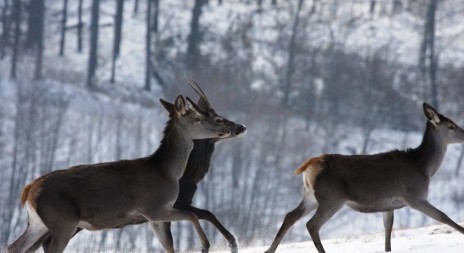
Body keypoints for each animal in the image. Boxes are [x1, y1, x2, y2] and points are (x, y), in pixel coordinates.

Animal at [5, 93, 241, 253]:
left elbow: (170, 245)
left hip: (38, 222)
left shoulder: (154, 217)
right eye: (199, 118)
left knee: (14, 247)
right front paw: (205, 245)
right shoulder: (155, 208)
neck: (168, 173)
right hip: (63, 219)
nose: (227, 129)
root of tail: (28, 190)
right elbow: (192, 215)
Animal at [264, 103, 464, 253]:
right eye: (451, 126)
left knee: (290, 215)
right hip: (332, 197)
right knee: (312, 224)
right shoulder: (415, 196)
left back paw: (269, 250)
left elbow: (387, 231)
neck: (424, 167)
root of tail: (310, 165)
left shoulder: (389, 205)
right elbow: (444, 217)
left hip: (310, 195)